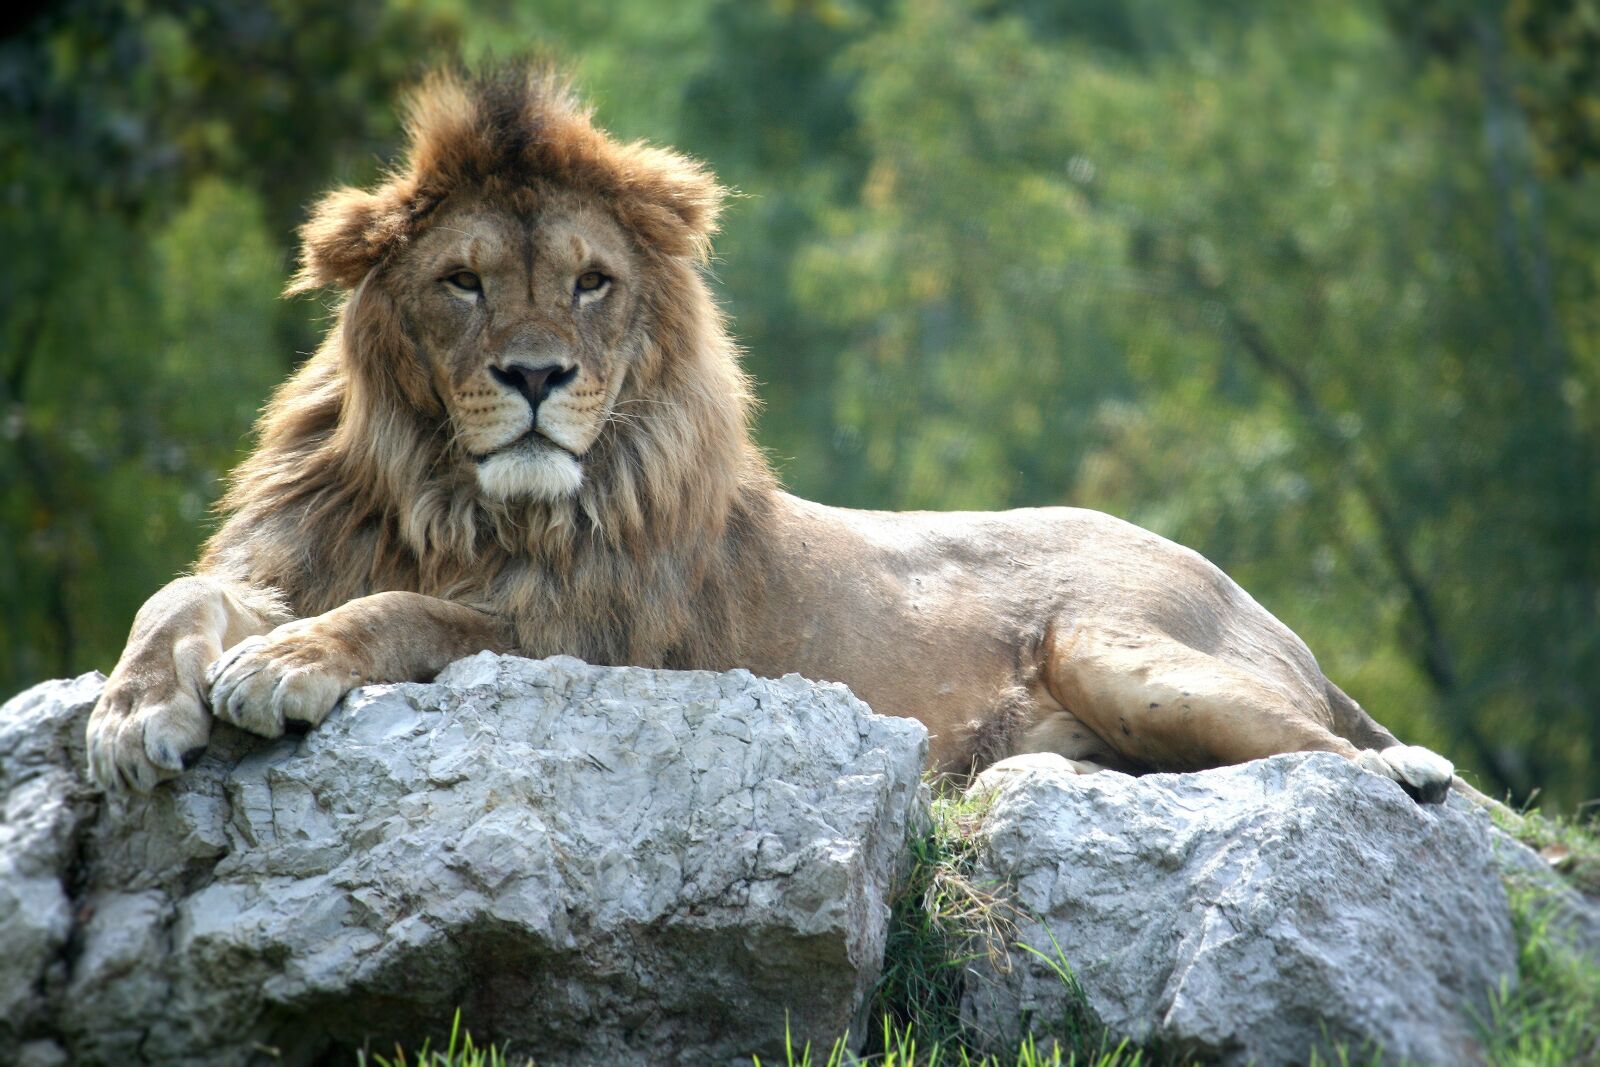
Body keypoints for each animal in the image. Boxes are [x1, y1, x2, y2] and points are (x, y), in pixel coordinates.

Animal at [86, 66, 1457, 806]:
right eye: (463, 282)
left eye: (590, 282)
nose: (535, 375)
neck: (453, 496)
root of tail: (1251, 596)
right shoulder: (295, 555)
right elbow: (174, 594)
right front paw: (130, 713)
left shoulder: (594, 642)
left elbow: (411, 614)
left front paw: (283, 664)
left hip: (1120, 647)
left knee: (1351, 754)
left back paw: (1410, 772)